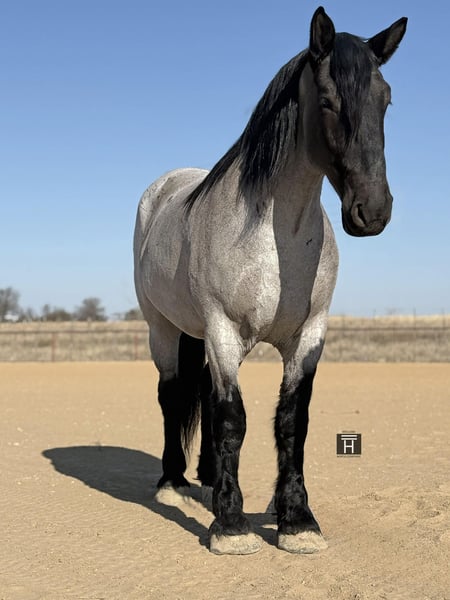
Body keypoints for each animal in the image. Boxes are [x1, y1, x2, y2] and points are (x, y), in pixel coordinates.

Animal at [134, 7, 407, 555]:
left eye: (385, 99)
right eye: (327, 100)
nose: (373, 211)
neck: (273, 241)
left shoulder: (309, 337)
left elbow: (290, 421)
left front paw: (296, 520)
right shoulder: (222, 332)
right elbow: (231, 419)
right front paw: (231, 526)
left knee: (202, 396)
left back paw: (207, 478)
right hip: (164, 330)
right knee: (172, 394)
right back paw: (172, 482)